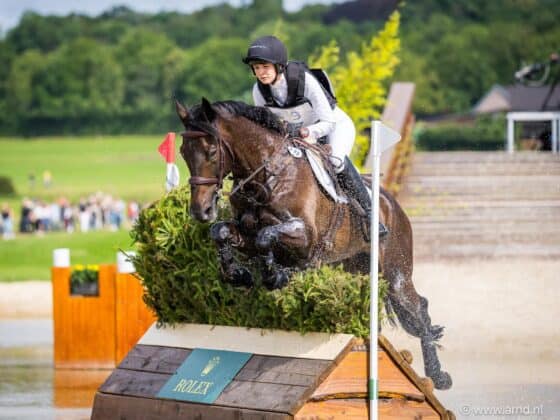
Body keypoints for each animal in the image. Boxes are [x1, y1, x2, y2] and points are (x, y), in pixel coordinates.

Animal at [174, 97, 450, 388]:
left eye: (211, 151)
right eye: (183, 152)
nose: (200, 211)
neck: (267, 177)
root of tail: (392, 203)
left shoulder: (305, 236)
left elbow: (265, 236)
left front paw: (274, 276)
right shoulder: (244, 232)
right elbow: (221, 232)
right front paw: (238, 273)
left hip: (395, 273)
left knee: (418, 308)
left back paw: (438, 376)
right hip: (357, 267)